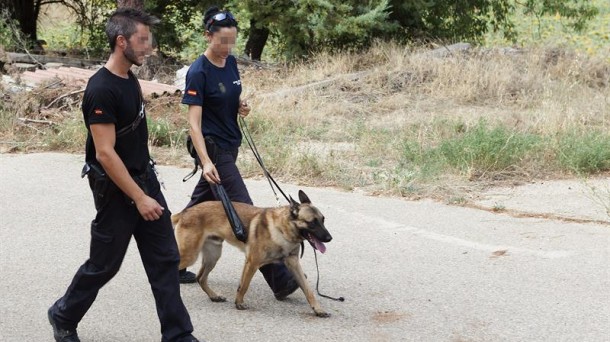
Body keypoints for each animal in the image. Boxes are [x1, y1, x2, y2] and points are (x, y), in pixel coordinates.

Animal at [171, 190, 332, 318]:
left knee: (201, 278)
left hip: (213, 256)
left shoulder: (294, 264)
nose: (329, 238)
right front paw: (239, 303)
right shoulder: (252, 262)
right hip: (190, 256)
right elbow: (244, 285)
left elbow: (308, 290)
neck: (282, 229)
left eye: (323, 220)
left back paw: (214, 296)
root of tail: (184, 212)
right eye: (312, 223)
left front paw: (318, 309)